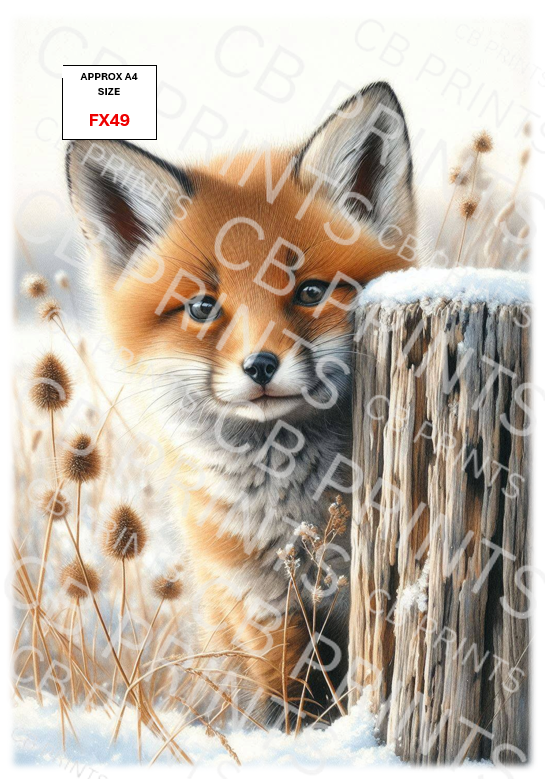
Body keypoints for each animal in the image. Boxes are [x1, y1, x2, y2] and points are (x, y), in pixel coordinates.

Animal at [65, 81, 415, 726]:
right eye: (203, 307)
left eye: (310, 292)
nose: (259, 367)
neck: (290, 509)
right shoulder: (262, 605)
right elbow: (295, 704)